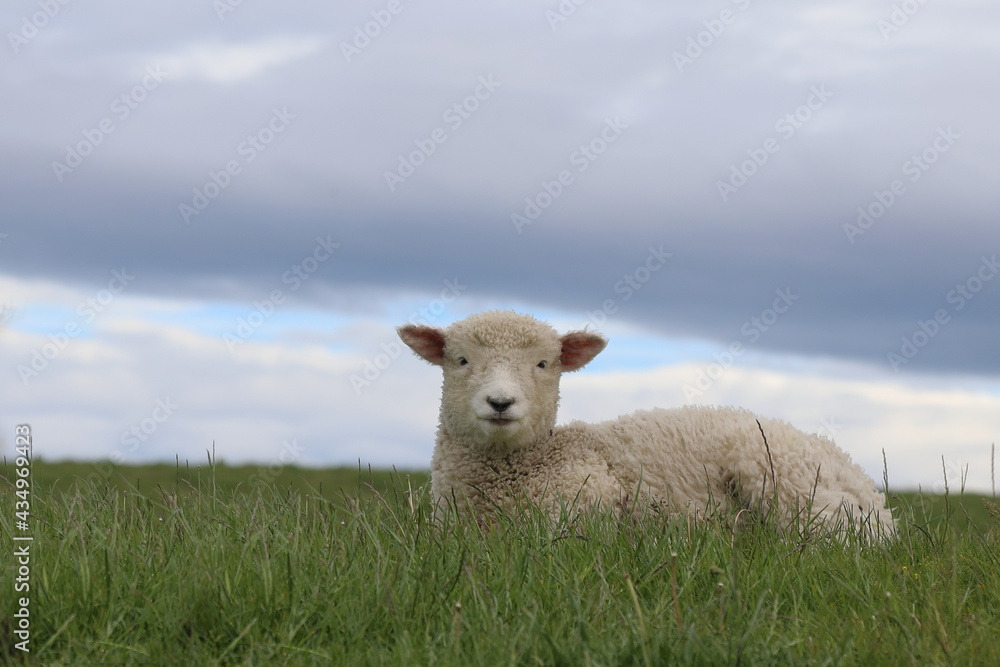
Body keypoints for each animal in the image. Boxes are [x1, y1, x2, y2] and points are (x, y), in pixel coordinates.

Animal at [398, 310, 895, 537]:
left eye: (543, 364)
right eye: (461, 360)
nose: (500, 402)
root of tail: (867, 485)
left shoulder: (587, 499)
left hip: (786, 481)